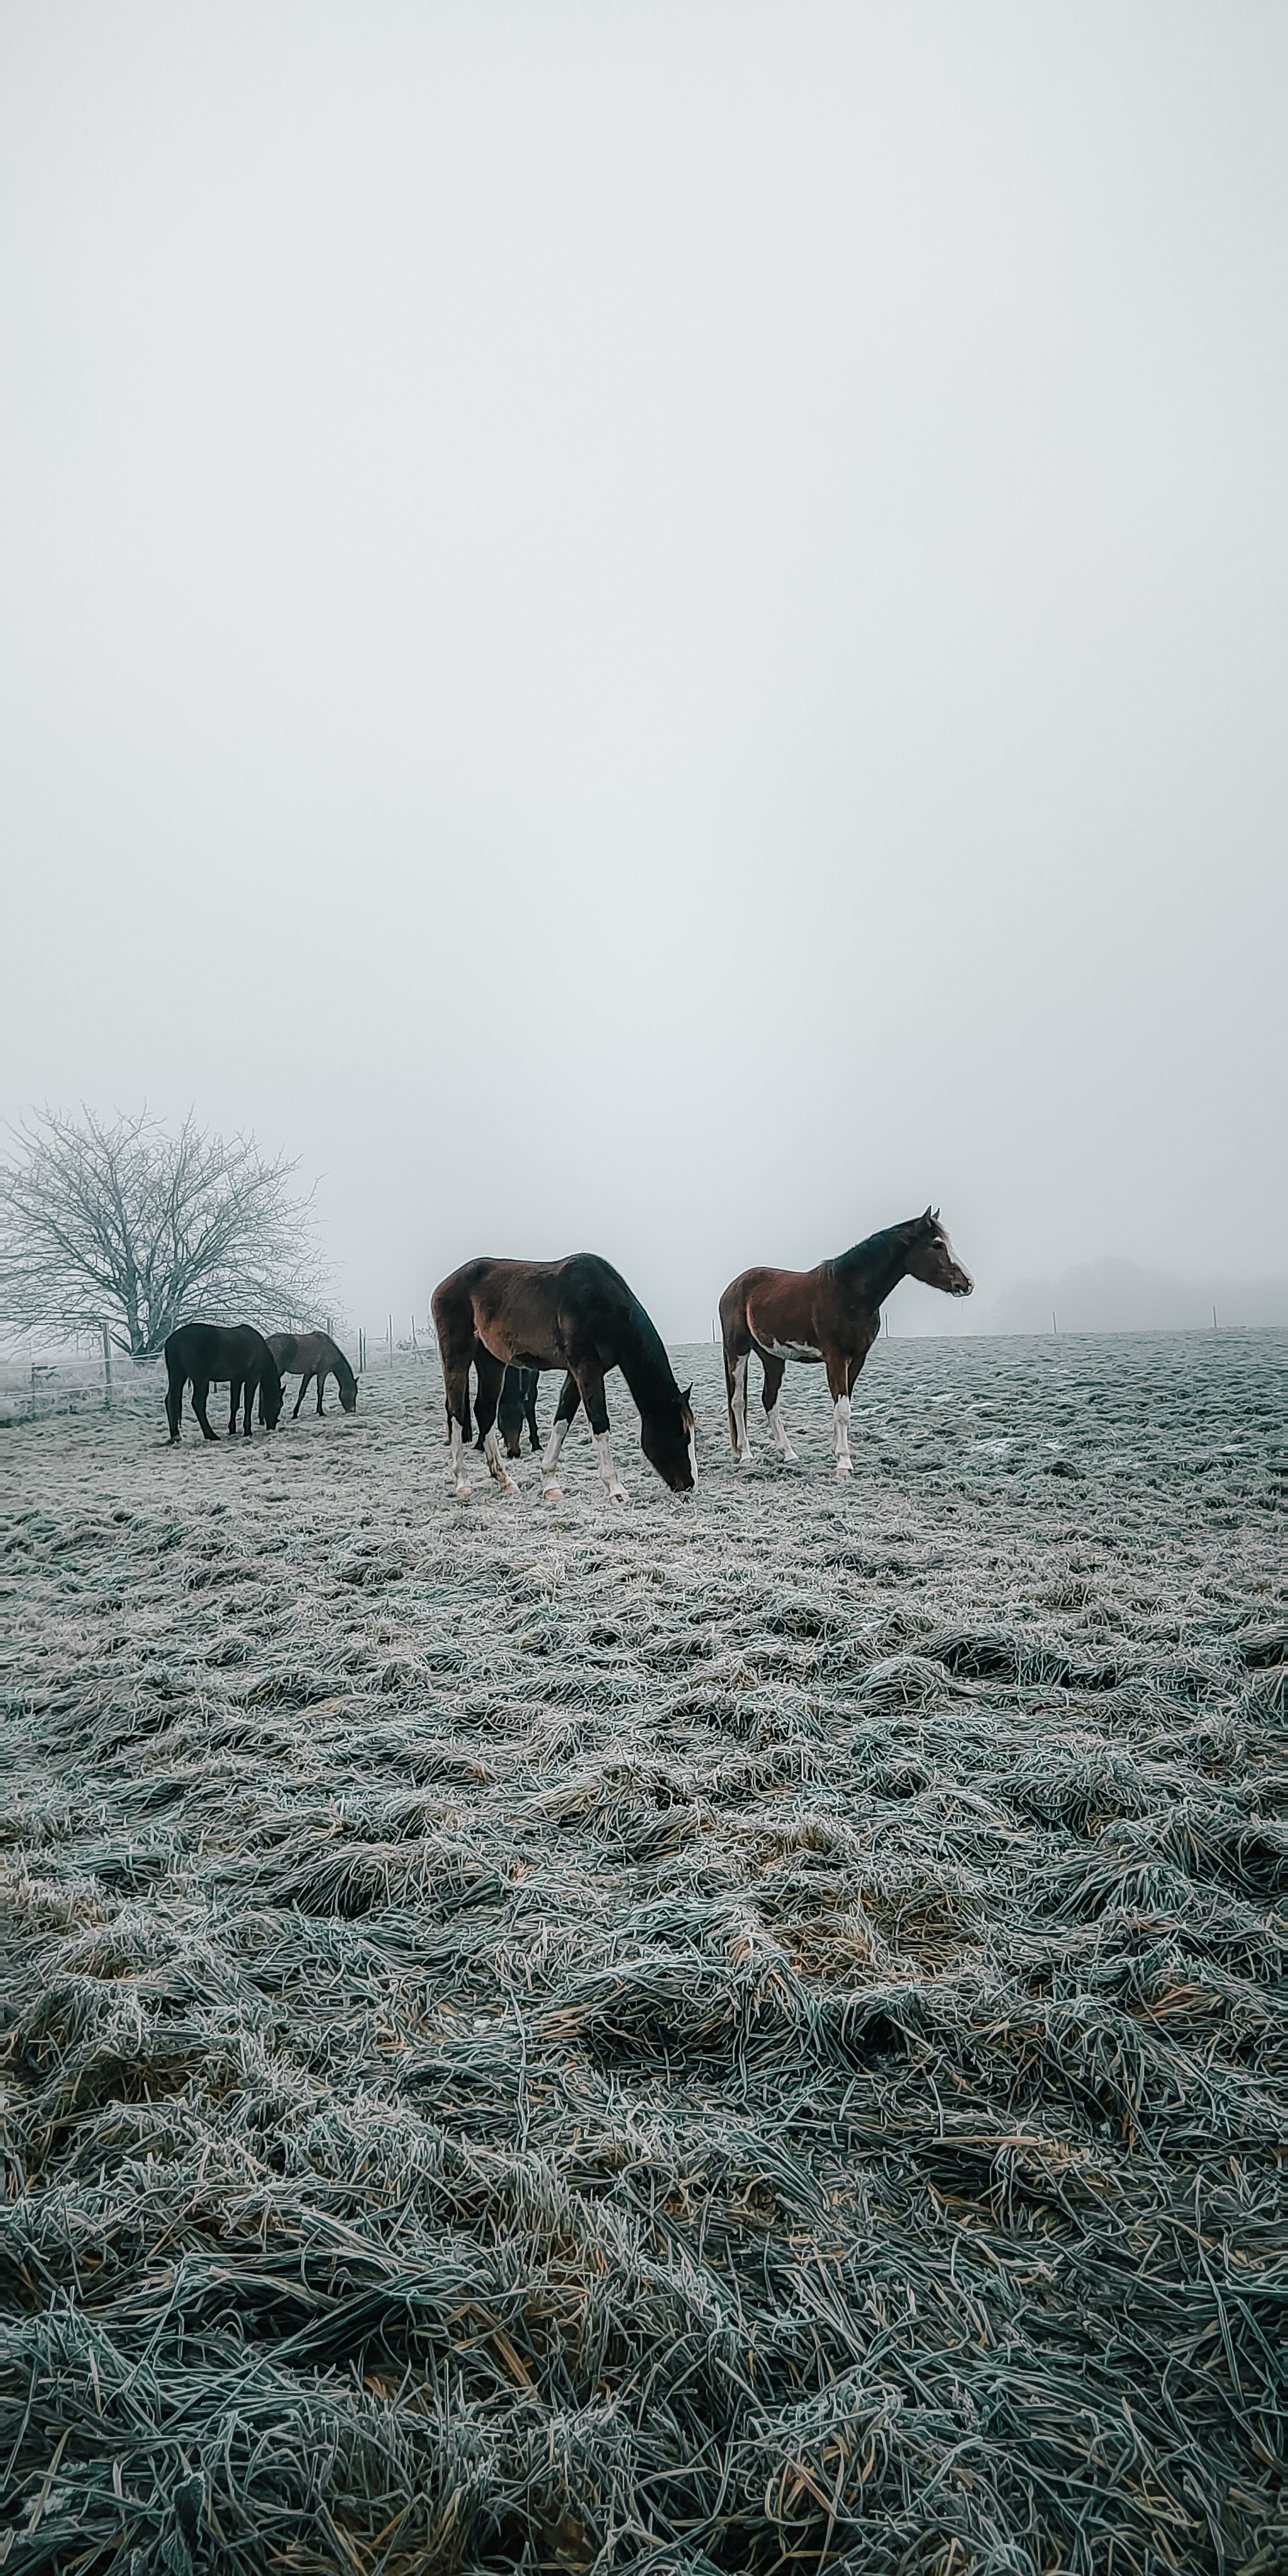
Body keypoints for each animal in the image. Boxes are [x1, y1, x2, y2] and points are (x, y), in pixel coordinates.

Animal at [165, 1319, 286, 1442]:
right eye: (279, 1404)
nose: (272, 1427)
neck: (261, 1350)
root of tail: (173, 1340)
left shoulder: (236, 1380)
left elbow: (235, 1404)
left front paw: (232, 1429)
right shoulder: (252, 1379)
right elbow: (248, 1404)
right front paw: (247, 1431)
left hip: (178, 1376)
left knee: (171, 1400)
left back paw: (176, 1436)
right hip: (201, 1380)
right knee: (198, 1403)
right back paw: (211, 1435)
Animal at [433, 1252, 695, 1504]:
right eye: (679, 1433)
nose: (689, 1485)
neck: (604, 1303)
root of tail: (443, 1286)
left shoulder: (577, 1373)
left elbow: (562, 1421)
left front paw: (550, 1484)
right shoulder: (586, 1369)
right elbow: (600, 1424)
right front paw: (615, 1489)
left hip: (491, 1361)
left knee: (484, 1411)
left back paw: (504, 1480)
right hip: (457, 1357)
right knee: (456, 1412)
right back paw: (463, 1483)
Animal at [721, 1200, 969, 1484]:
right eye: (937, 1244)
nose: (967, 1283)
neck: (849, 1292)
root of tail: (733, 1288)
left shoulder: (857, 1358)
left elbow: (843, 1404)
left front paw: (835, 1450)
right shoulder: (836, 1359)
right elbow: (842, 1410)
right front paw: (843, 1463)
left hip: (772, 1357)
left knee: (769, 1400)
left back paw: (789, 1454)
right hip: (738, 1350)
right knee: (738, 1402)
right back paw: (746, 1455)